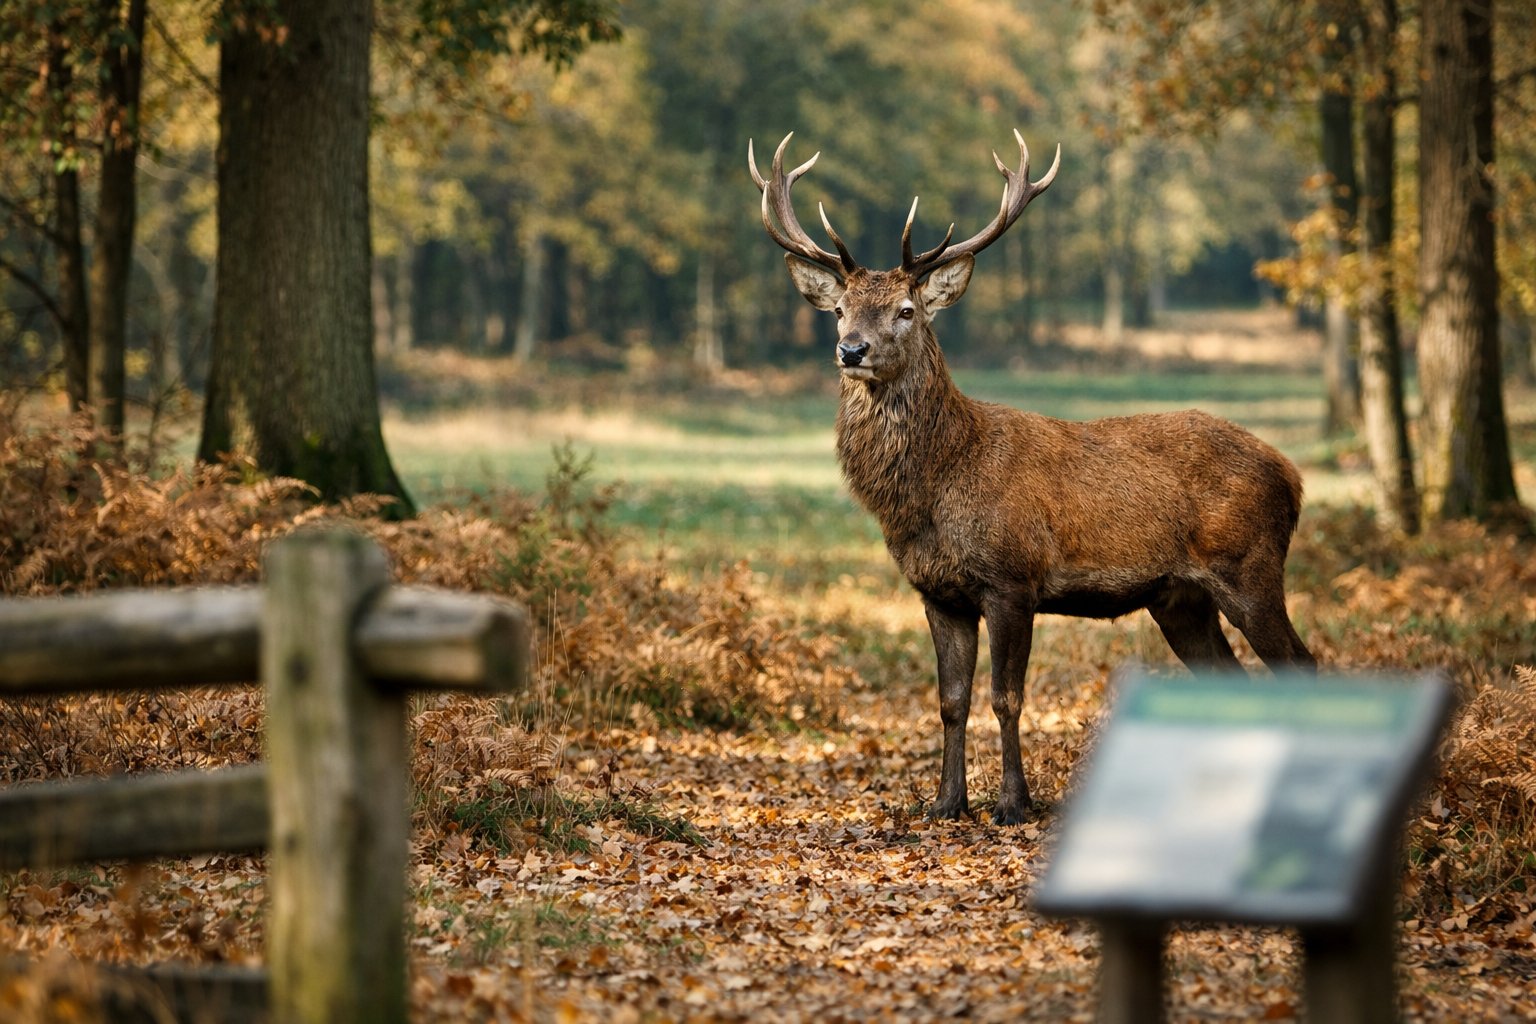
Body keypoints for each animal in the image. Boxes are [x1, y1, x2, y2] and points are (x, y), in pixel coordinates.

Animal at [748, 131, 1317, 826]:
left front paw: (1013, 804)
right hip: (1179, 598)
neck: (934, 490)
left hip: (1249, 567)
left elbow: (1006, 698)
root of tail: (1292, 476)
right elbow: (951, 701)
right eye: (838, 309)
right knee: (1229, 679)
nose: (850, 349)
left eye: (906, 310)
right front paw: (947, 803)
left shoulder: (1012, 579)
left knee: (1302, 664)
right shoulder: (938, 592)